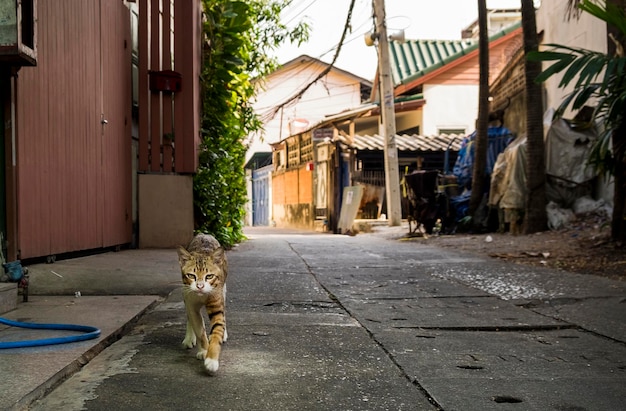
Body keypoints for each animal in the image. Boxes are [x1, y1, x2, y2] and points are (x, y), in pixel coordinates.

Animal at [177, 233, 228, 374]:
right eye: (191, 275)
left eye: (209, 276)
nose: (200, 286)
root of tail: (204, 234)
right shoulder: (191, 303)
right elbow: (199, 330)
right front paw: (204, 350)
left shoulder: (216, 302)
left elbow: (217, 329)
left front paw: (212, 360)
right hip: (185, 293)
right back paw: (189, 338)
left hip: (224, 290)